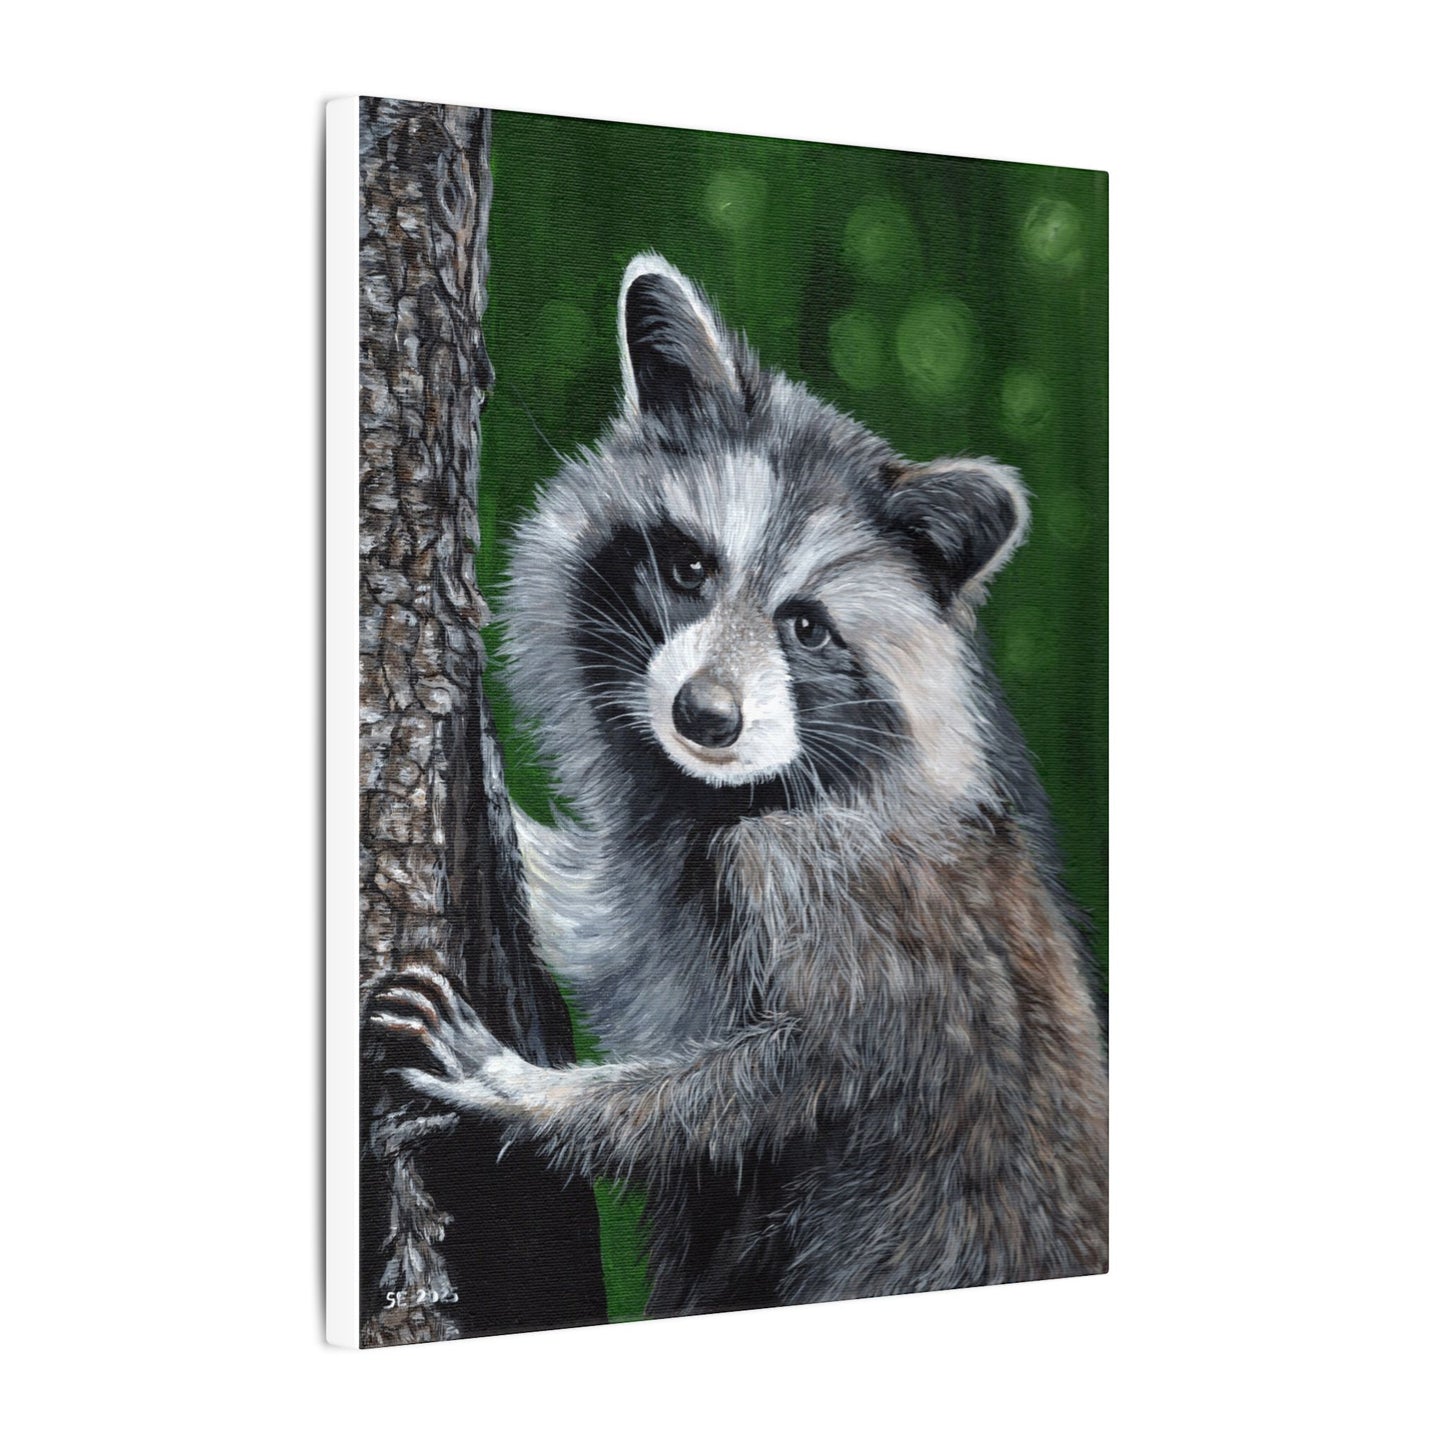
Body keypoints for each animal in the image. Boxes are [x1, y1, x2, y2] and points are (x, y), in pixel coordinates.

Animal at [375, 254, 1108, 1316]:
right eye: (687, 566)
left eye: (805, 627)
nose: (705, 717)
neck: (732, 793)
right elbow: (608, 928)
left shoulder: (834, 885)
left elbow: (782, 1076)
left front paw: (530, 1093)